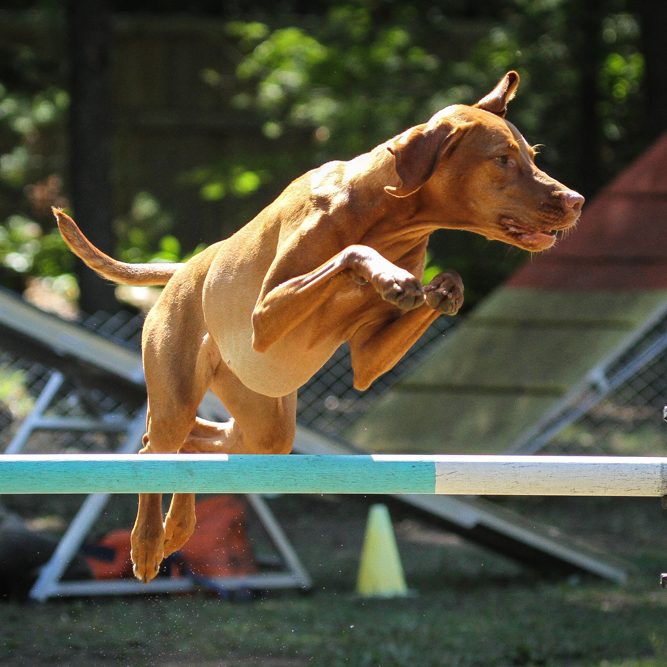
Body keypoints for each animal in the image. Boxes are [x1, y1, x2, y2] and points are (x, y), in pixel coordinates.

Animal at [55, 71, 583, 582]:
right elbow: (350, 253)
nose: (577, 199)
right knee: (153, 448)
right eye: (501, 159)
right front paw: (387, 275)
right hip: (177, 392)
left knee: (196, 442)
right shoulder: (265, 316)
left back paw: (178, 526)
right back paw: (147, 543)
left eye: (531, 155)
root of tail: (185, 269)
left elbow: (437, 285)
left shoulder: (368, 359)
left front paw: (440, 290)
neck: (386, 215)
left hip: (265, 428)